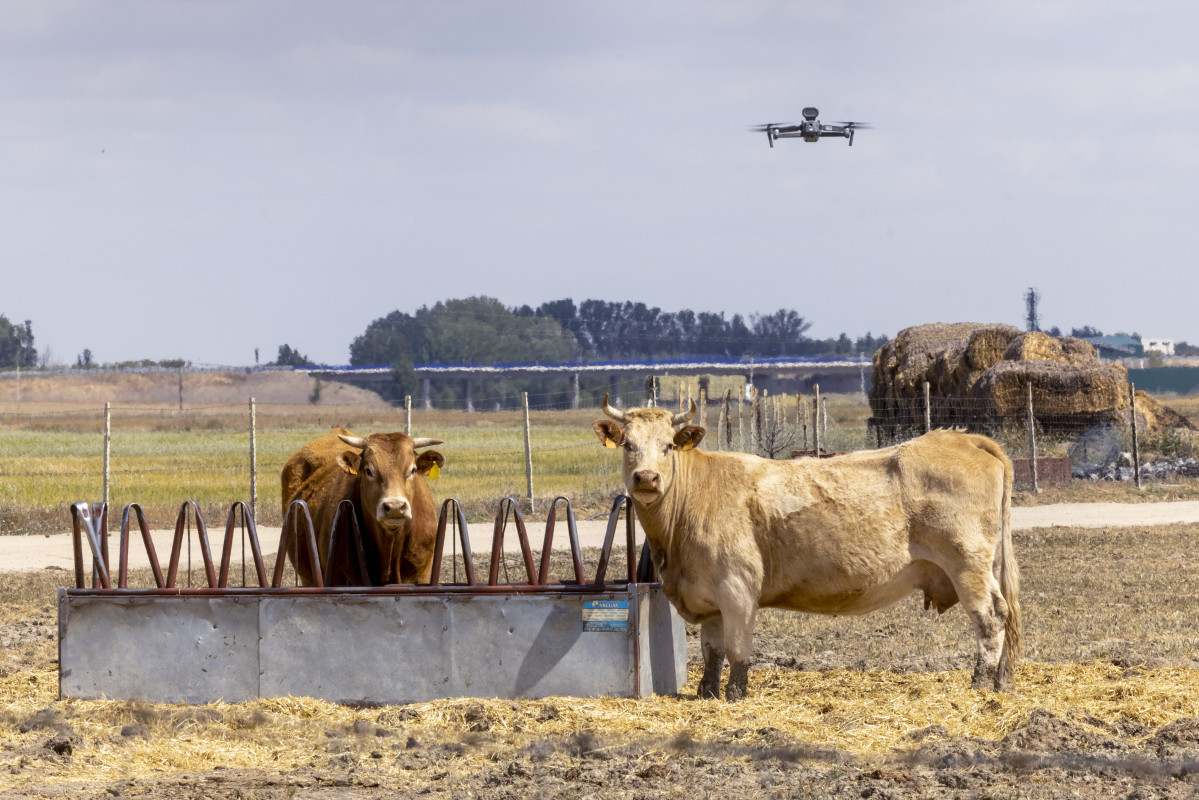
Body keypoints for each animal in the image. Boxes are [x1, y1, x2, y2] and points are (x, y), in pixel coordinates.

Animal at [592, 395, 1021, 700]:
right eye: (628, 445)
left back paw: (980, 683)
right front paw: (707, 693)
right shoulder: (707, 594)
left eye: (667, 445)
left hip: (967, 564)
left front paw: (735, 694)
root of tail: (961, 436)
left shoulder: (738, 587)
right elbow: (712, 650)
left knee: (991, 617)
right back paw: (1001, 681)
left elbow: (736, 648)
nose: (647, 478)